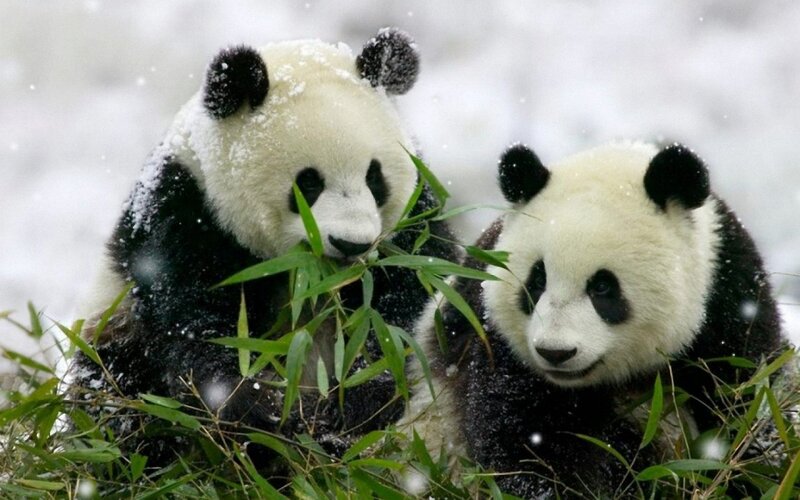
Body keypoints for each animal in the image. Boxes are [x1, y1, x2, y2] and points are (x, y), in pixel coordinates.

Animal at [67, 28, 457, 460]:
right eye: (308, 183)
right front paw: (264, 413)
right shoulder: (185, 214)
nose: (351, 243)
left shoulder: (411, 226)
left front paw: (347, 409)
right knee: (116, 397)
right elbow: (199, 328)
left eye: (375, 178)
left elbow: (404, 314)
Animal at [400, 141, 788, 498]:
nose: (556, 352)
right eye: (537, 280)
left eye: (602, 287)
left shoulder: (728, 298)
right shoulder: (497, 340)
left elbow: (742, 404)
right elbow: (525, 437)